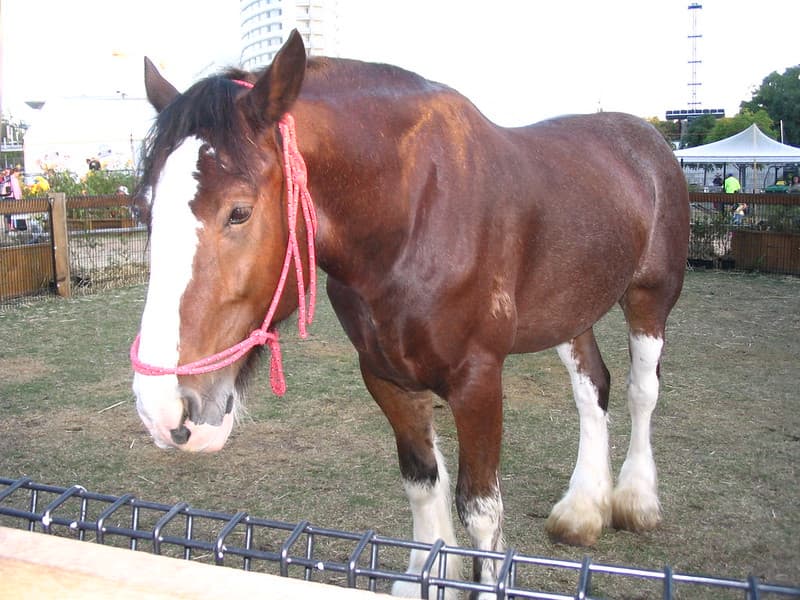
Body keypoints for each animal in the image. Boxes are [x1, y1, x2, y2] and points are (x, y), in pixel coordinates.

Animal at [131, 30, 689, 598]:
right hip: (572, 309)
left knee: (642, 391)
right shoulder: (387, 376)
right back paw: (582, 510)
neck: (413, 215)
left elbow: (480, 508)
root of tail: (646, 139)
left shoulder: (478, 381)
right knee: (591, 388)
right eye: (142, 209)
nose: (162, 410)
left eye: (239, 211)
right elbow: (423, 484)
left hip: (650, 297)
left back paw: (637, 500)